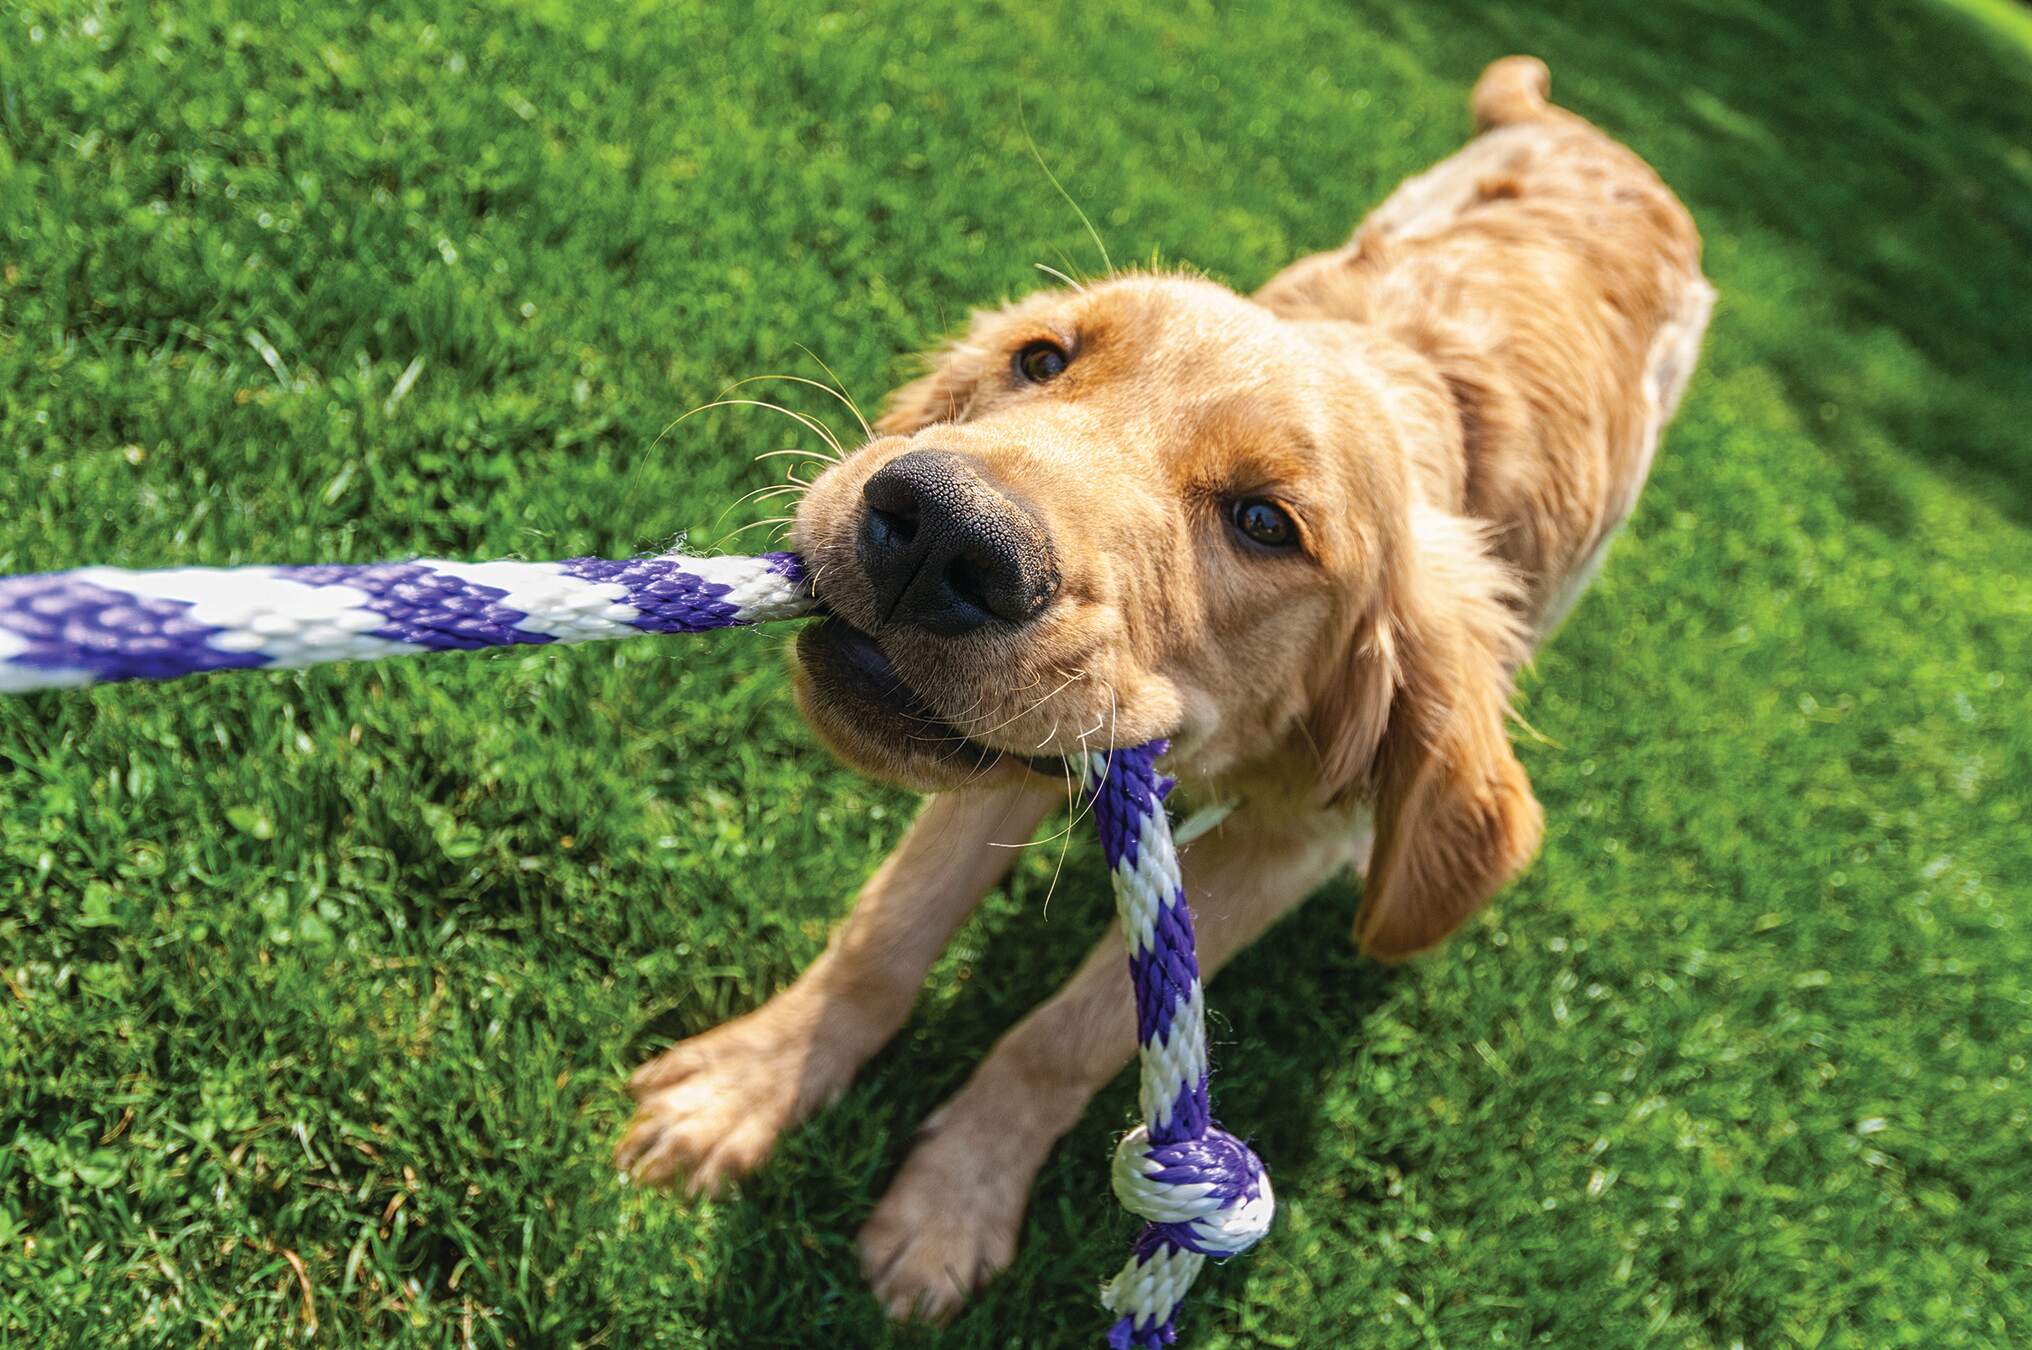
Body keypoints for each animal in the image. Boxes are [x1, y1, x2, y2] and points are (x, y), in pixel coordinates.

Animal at [613, 57, 1715, 1325]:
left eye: (1265, 523)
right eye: (1042, 359)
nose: (939, 536)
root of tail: (1598, 137)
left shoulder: (1289, 842)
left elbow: (1068, 1035)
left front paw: (951, 1205)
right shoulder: (1018, 747)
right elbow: (887, 931)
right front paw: (752, 1085)